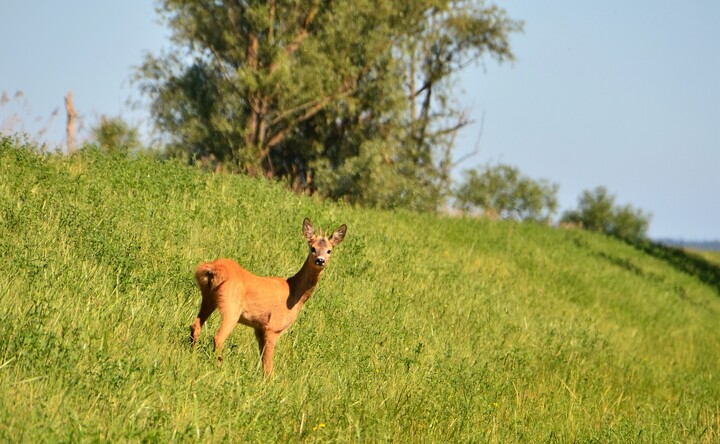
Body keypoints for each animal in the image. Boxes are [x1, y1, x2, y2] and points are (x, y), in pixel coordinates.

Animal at [190, 217, 348, 376]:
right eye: (312, 248)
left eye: (329, 250)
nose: (320, 260)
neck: (294, 293)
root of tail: (213, 269)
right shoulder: (273, 327)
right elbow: (268, 365)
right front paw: (269, 380)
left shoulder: (259, 328)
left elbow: (262, 359)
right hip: (231, 306)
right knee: (218, 337)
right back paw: (219, 367)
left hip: (208, 298)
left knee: (195, 326)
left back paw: (192, 355)